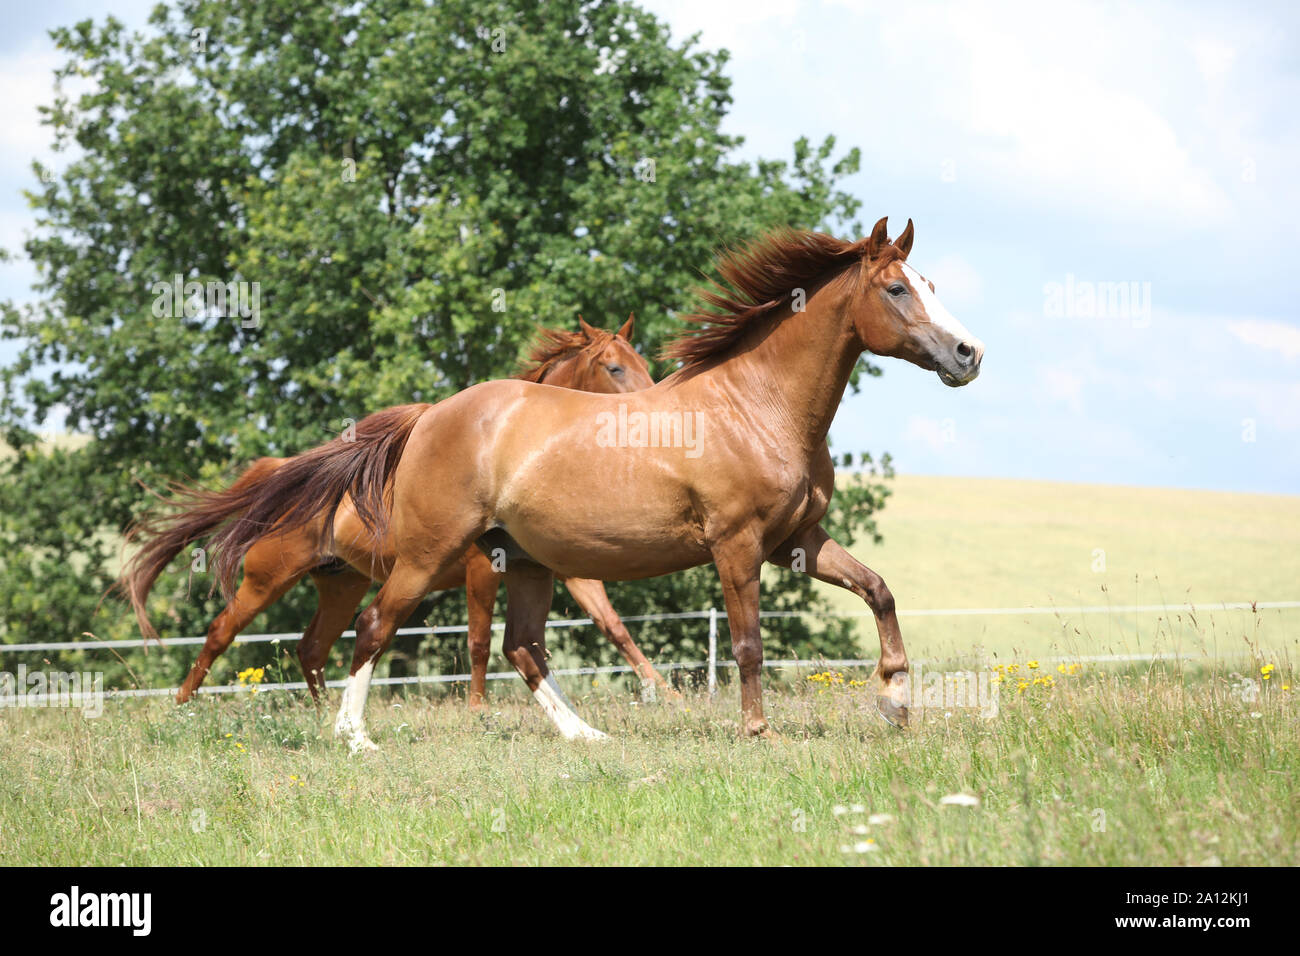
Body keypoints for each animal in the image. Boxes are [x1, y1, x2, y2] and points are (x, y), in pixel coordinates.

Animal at [120, 318, 678, 722]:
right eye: (614, 368)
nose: (657, 410)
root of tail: (282, 471)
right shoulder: (482, 571)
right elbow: (479, 641)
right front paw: (477, 711)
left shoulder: (566, 570)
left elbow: (614, 626)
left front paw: (666, 692)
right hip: (267, 580)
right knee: (221, 632)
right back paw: (180, 708)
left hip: (340, 585)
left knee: (311, 648)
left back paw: (328, 714)